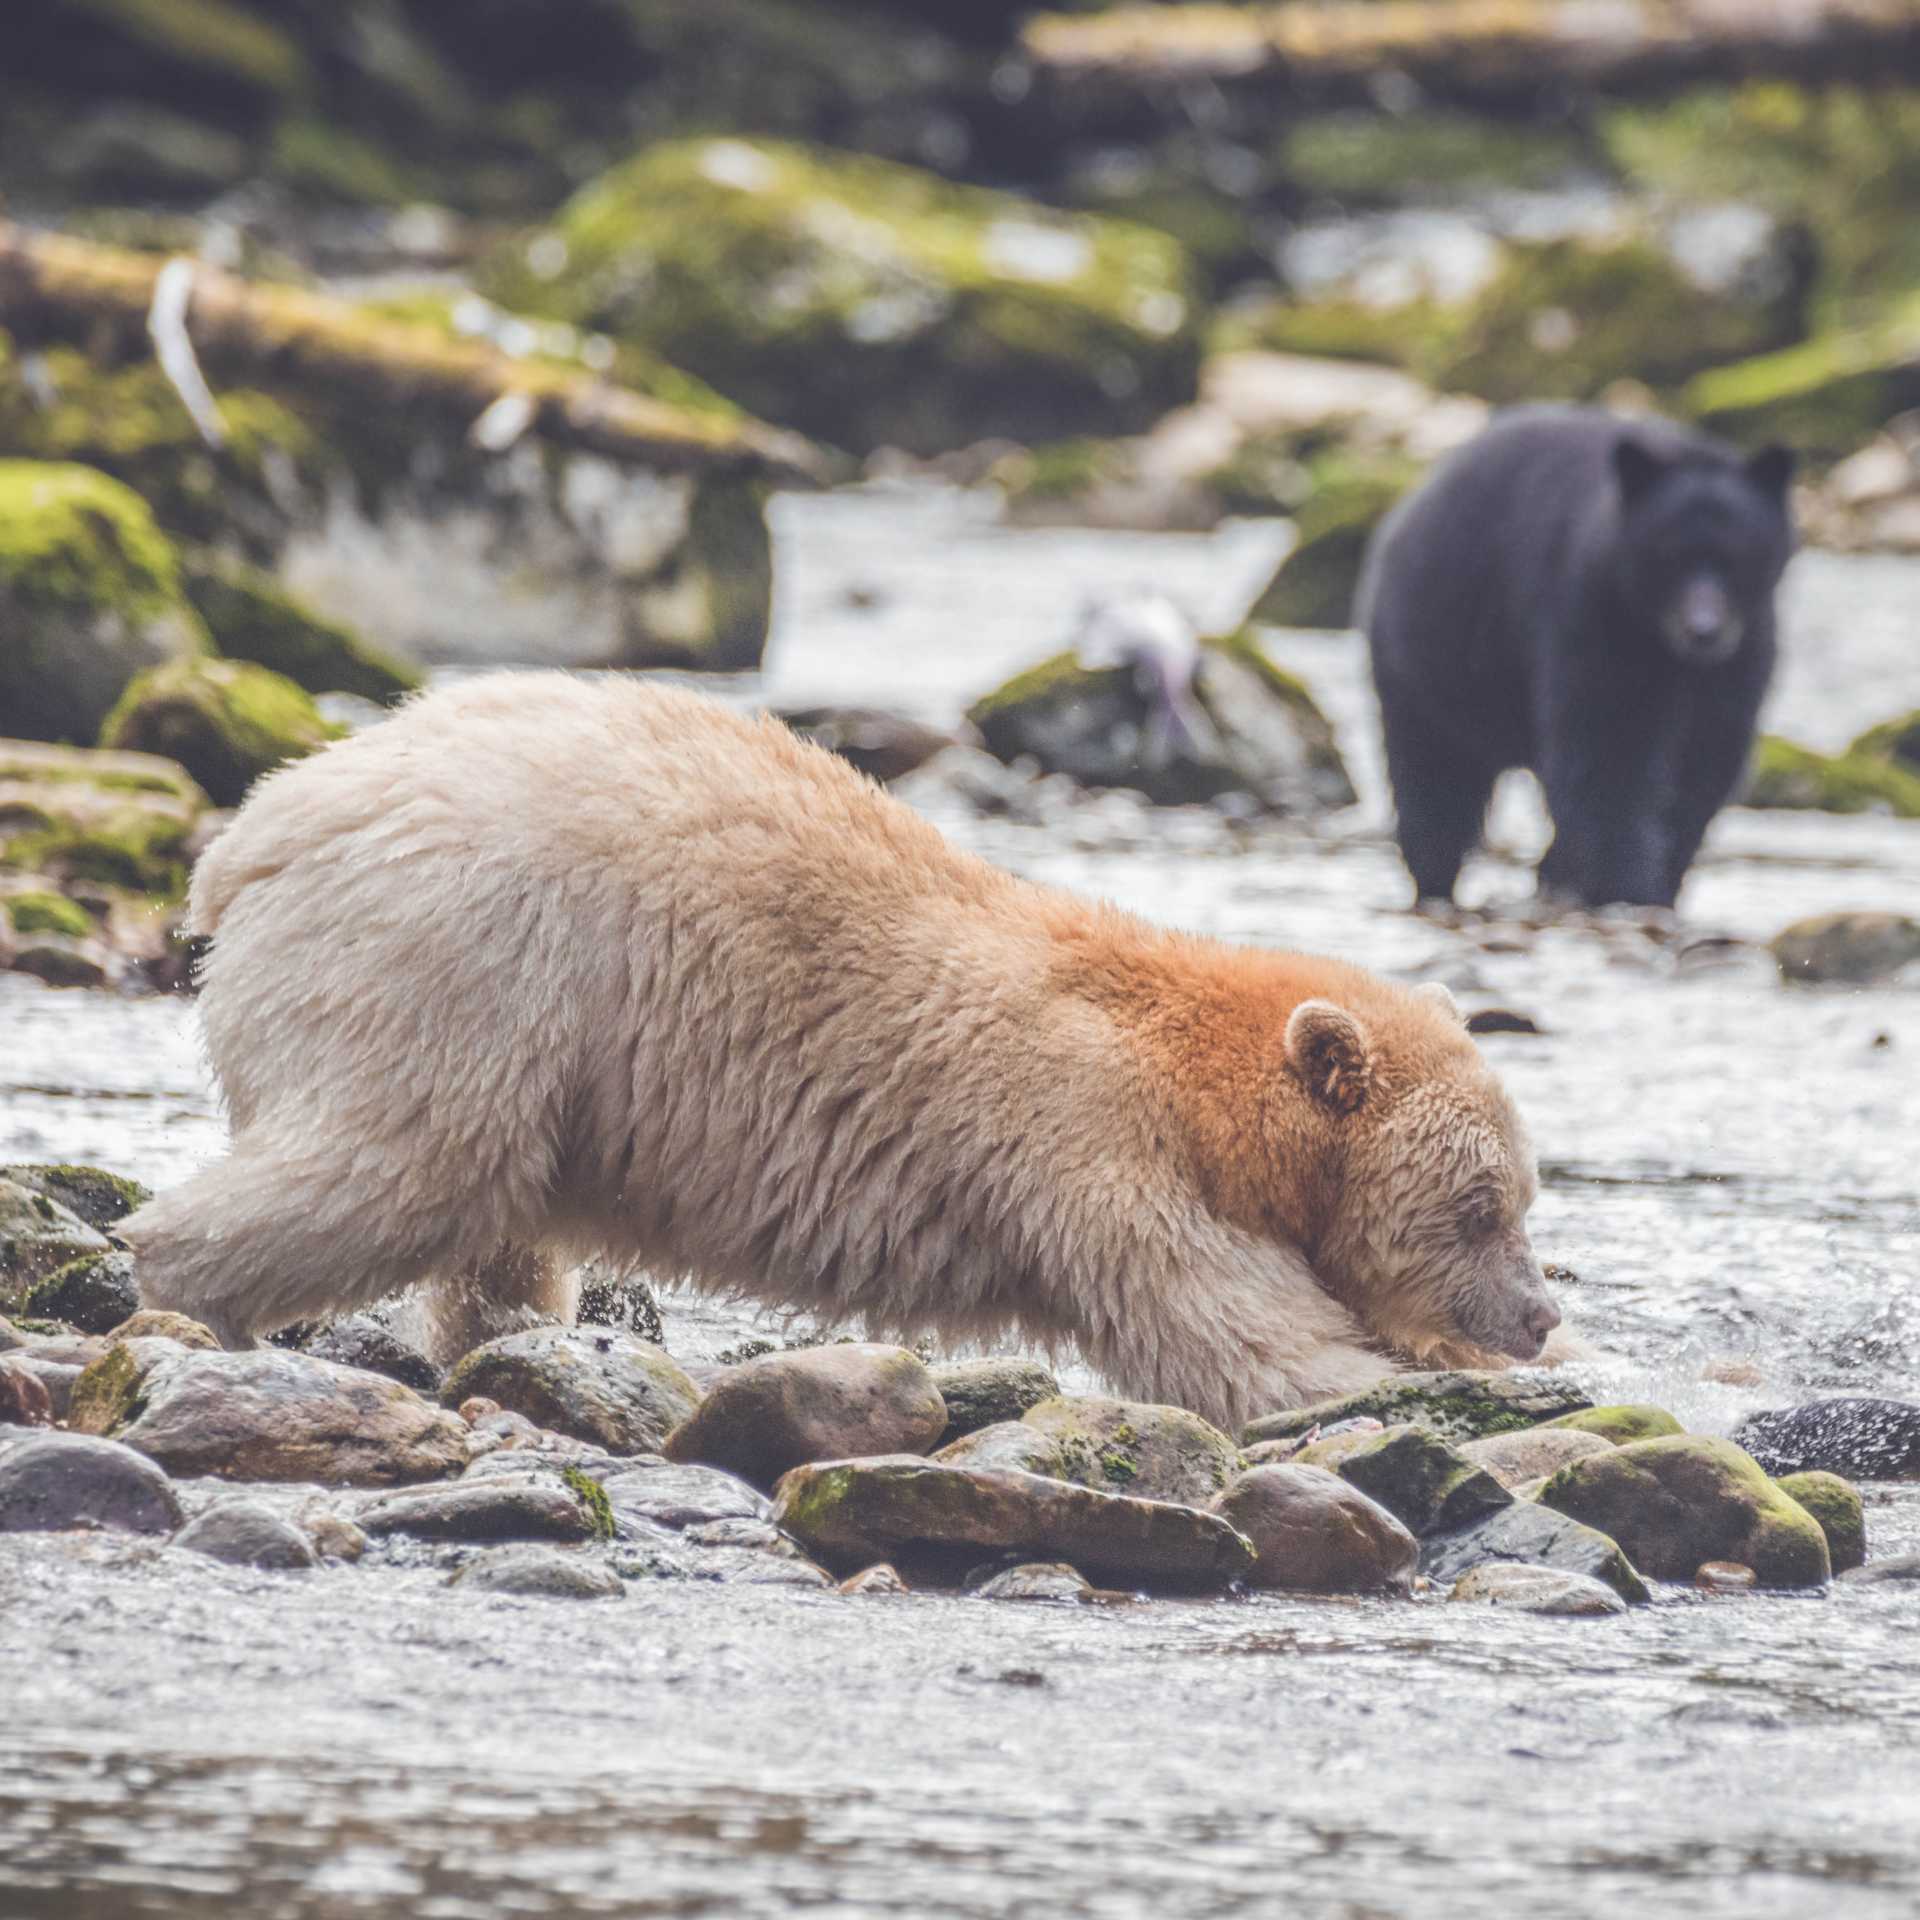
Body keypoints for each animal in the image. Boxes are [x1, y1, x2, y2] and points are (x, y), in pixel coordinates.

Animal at [121, 673, 1562, 1432]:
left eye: (1522, 1199)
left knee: (489, 1230)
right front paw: (1404, 1381)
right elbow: (1232, 1334)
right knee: (390, 1164)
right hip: (461, 965)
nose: (1540, 1313)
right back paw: (185, 1300)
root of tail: (255, 838)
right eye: (1479, 1206)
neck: (1199, 1078)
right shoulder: (1080, 1134)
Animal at [1358, 405, 1796, 910]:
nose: (1703, 631)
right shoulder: (1587, 615)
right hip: (1430, 665)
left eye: (1736, 557)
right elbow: (1612, 746)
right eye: (1670, 556)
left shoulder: (1743, 655)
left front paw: (1661, 882)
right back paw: (1437, 878)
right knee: (1433, 781)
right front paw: (1629, 886)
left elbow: (1706, 760)